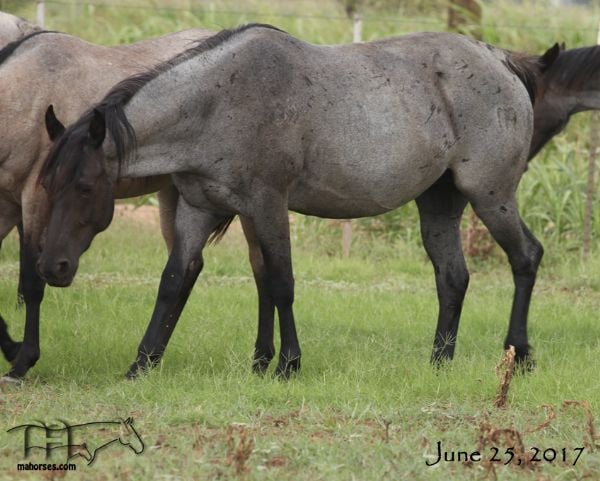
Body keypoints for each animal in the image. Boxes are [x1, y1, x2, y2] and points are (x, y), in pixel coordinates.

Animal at [38, 25, 548, 378]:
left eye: (85, 188)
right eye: (47, 186)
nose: (53, 268)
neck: (218, 103)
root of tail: (500, 60)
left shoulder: (268, 205)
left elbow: (281, 283)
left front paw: (287, 364)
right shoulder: (198, 209)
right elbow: (175, 281)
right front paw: (142, 364)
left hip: (491, 195)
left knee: (526, 257)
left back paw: (520, 355)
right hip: (439, 204)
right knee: (452, 278)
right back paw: (440, 361)